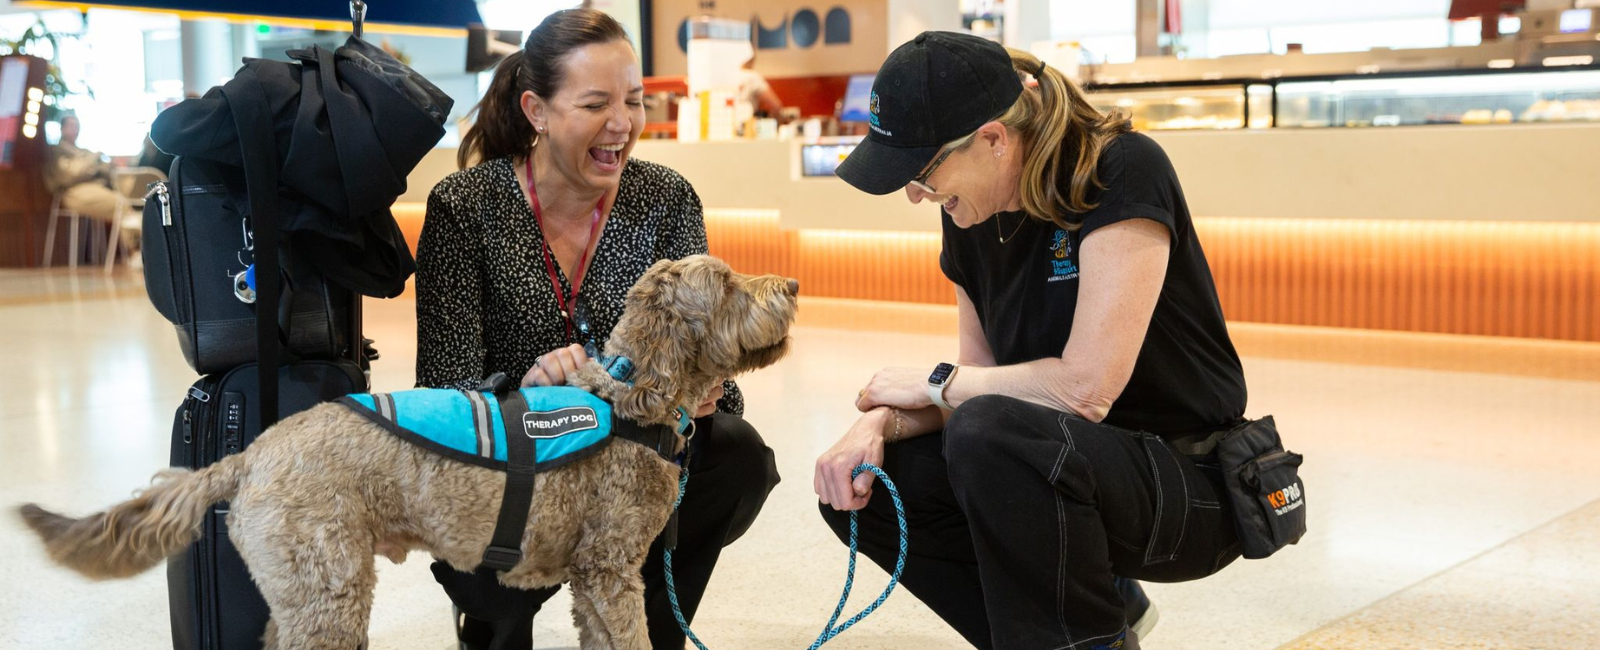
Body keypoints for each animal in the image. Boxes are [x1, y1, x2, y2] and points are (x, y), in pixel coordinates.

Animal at [17, 256, 800, 650]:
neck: (627, 396)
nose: (792, 285)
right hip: (327, 590)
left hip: (302, 593)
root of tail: (252, 452)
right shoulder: (611, 576)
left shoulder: (592, 585)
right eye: (726, 282)